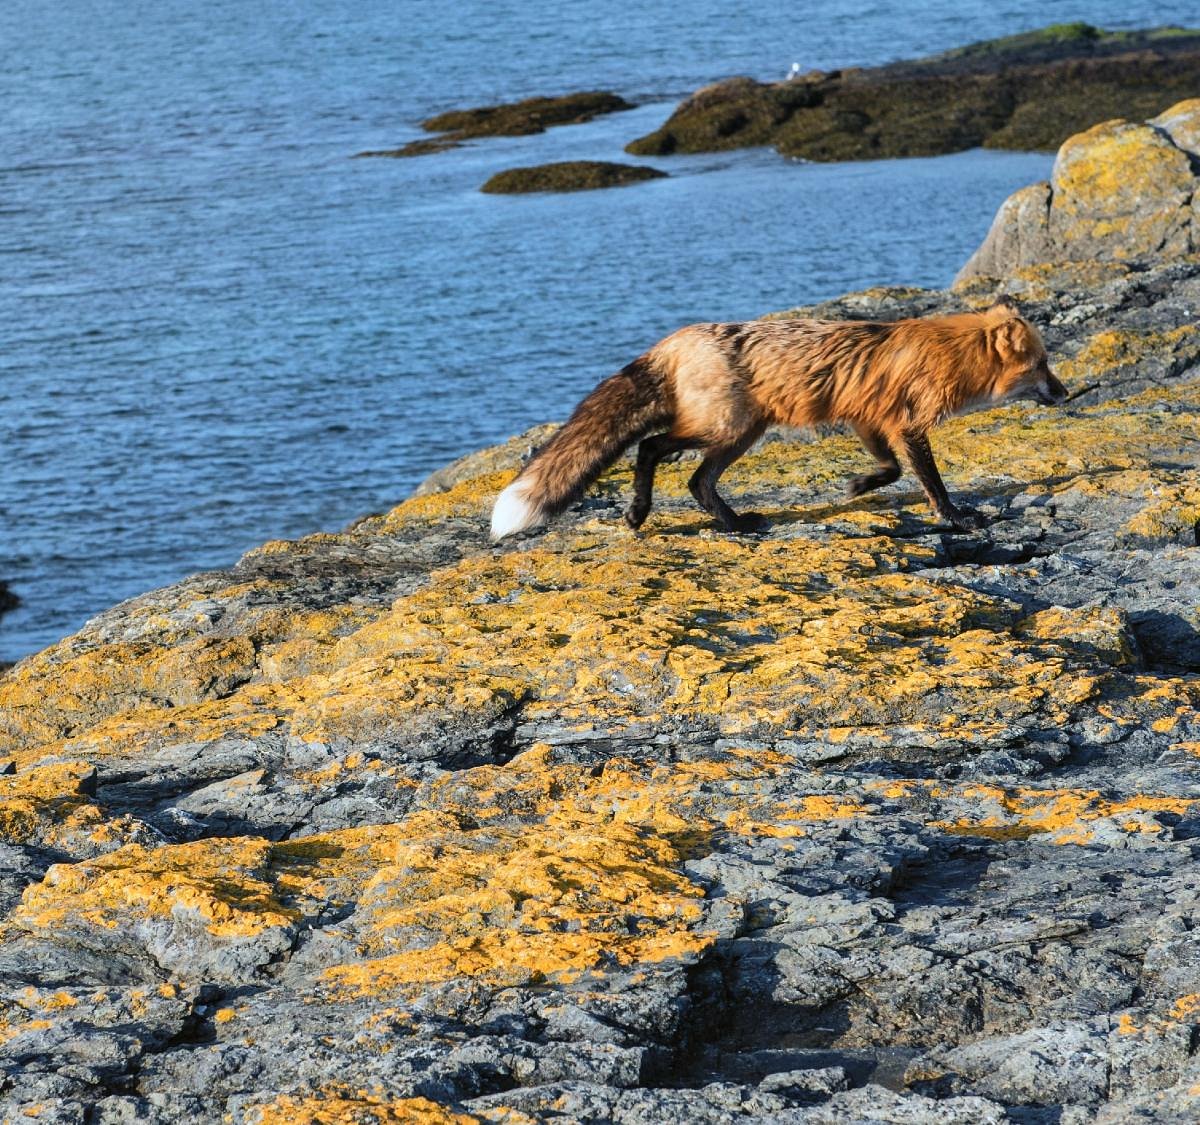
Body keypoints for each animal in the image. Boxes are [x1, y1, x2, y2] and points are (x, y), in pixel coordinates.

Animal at [487, 298, 1070, 539]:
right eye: (1042, 364)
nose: (1065, 394)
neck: (949, 353)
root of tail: (675, 339)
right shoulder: (907, 424)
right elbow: (930, 482)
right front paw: (957, 518)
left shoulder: (869, 419)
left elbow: (890, 470)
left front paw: (858, 485)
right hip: (724, 427)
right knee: (650, 448)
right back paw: (638, 513)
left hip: (742, 434)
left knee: (698, 482)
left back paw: (734, 524)